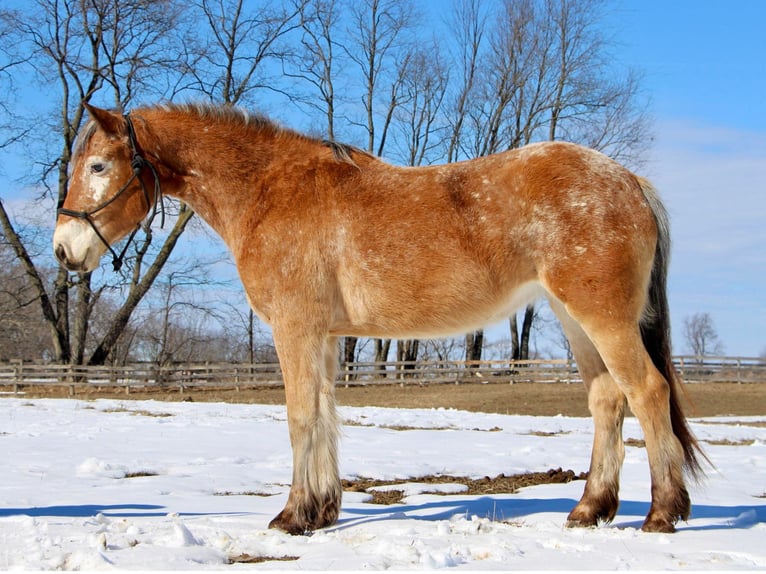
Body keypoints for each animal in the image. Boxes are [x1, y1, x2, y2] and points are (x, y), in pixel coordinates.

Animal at [52, 102, 708, 536]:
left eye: (99, 167)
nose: (62, 250)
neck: (269, 190)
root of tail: (627, 180)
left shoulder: (294, 329)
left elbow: (299, 417)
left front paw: (291, 516)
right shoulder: (321, 337)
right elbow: (323, 416)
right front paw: (319, 511)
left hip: (604, 319)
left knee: (647, 392)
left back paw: (662, 513)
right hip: (576, 319)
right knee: (607, 400)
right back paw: (590, 509)